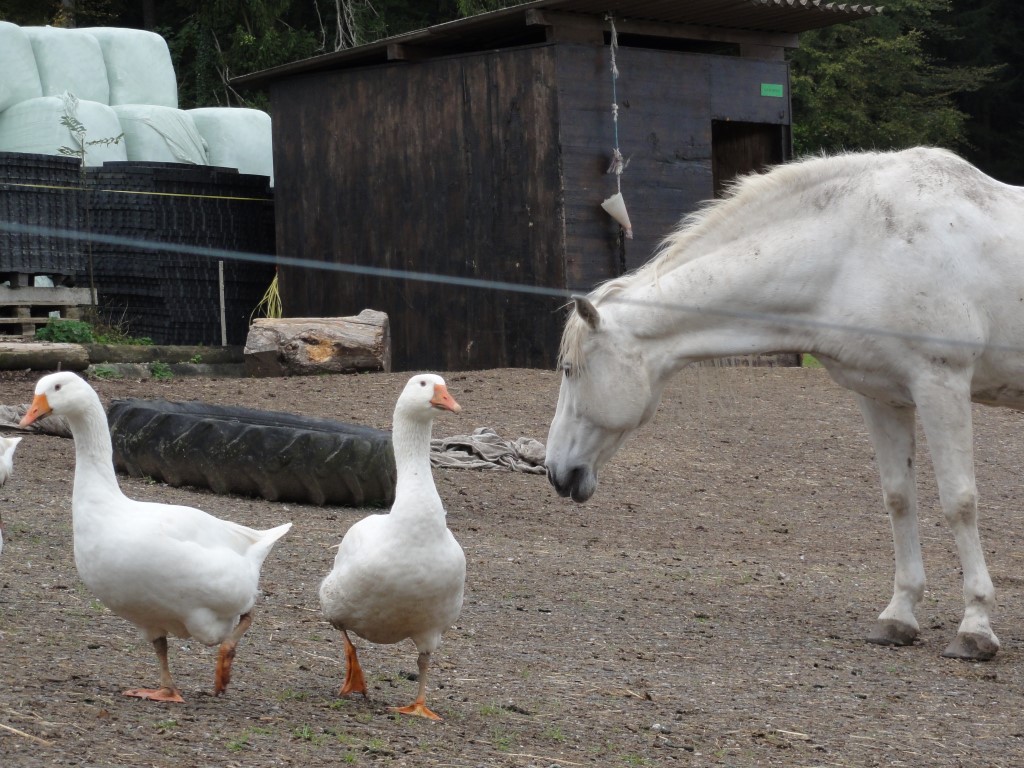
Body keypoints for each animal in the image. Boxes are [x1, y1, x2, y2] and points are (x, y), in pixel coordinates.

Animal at [545, 146, 1024, 662]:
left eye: (569, 370)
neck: (859, 245)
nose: (555, 471)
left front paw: (975, 627)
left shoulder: (941, 384)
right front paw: (898, 616)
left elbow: (959, 502)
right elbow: (899, 498)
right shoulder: (881, 396)